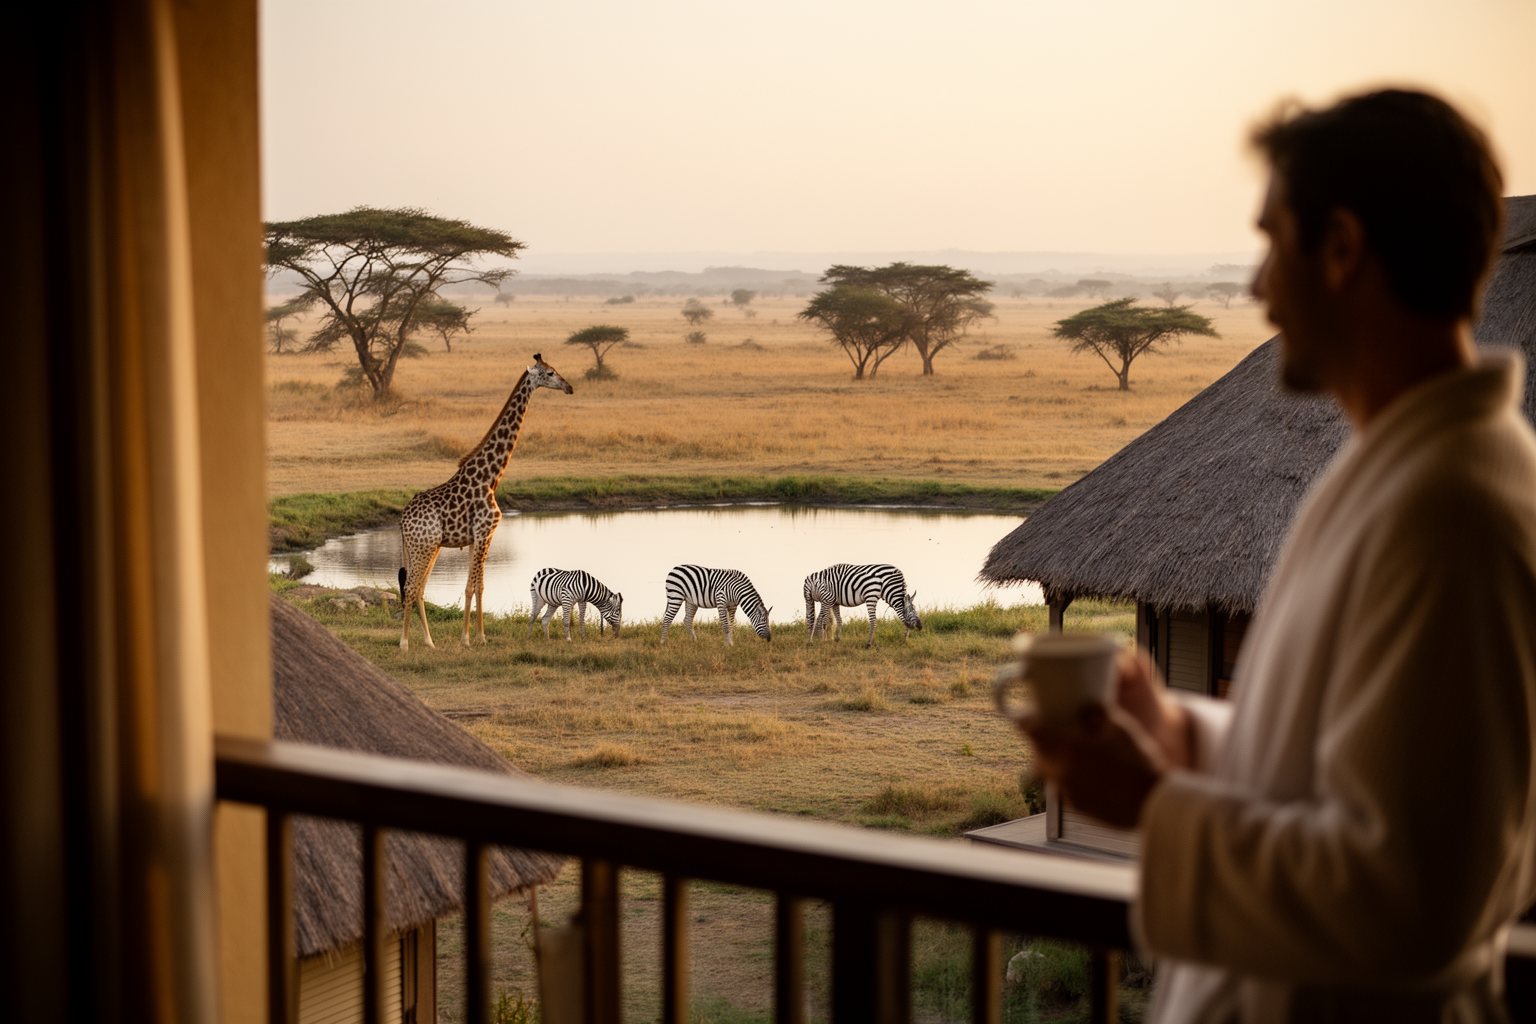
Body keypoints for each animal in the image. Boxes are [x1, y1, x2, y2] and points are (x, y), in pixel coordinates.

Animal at [398, 353, 574, 650]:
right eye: (549, 373)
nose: (569, 387)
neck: (491, 477)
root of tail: (401, 520)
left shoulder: (477, 537)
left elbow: (478, 586)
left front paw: (479, 636)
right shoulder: (484, 532)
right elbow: (472, 586)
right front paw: (469, 638)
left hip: (427, 547)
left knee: (419, 588)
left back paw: (430, 642)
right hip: (423, 546)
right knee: (410, 587)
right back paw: (404, 643)